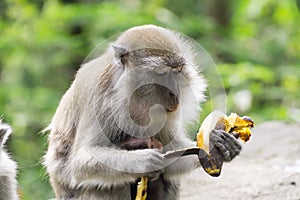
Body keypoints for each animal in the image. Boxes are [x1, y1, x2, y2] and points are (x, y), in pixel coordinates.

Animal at [44, 24, 241, 199]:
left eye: (177, 71)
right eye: (161, 73)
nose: (174, 93)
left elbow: (172, 157)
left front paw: (218, 144)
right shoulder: (99, 100)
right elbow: (81, 163)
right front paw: (144, 161)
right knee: (111, 183)